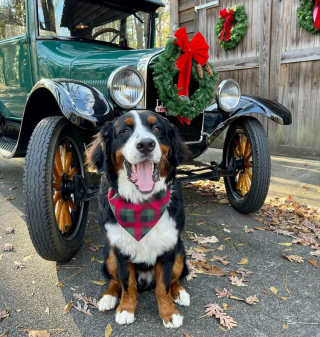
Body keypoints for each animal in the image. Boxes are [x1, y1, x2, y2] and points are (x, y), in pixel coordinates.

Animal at [85, 109, 190, 326]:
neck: (142, 204)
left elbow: (163, 285)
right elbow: (127, 282)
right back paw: (109, 297)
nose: (146, 144)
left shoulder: (169, 248)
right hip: (109, 252)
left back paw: (180, 293)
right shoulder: (120, 248)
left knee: (175, 279)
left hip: (180, 251)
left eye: (157, 128)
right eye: (125, 131)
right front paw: (126, 308)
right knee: (114, 280)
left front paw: (169, 312)